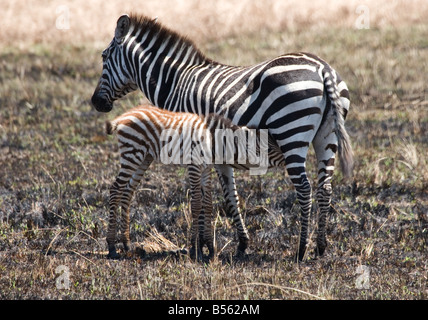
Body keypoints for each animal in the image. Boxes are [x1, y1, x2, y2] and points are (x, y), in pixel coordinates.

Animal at [91, 13, 354, 262]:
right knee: (325, 187)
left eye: (104, 57)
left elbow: (203, 195)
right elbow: (227, 196)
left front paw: (201, 247)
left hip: (291, 134)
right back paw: (320, 247)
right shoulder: (216, 152)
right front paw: (235, 244)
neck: (174, 82)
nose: (96, 103)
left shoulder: (195, 147)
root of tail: (323, 68)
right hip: (327, 137)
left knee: (304, 188)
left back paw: (301, 249)